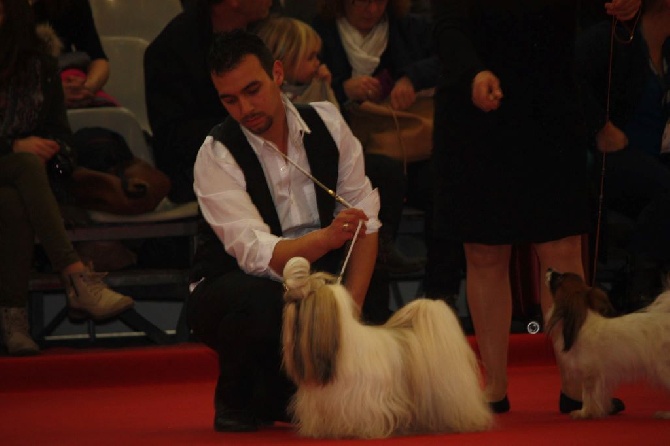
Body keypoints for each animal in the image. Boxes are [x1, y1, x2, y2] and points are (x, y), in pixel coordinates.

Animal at [544, 268, 670, 418]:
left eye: (558, 278)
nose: (549, 269)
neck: (581, 322)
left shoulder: (590, 374)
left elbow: (588, 395)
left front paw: (585, 412)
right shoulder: (601, 377)